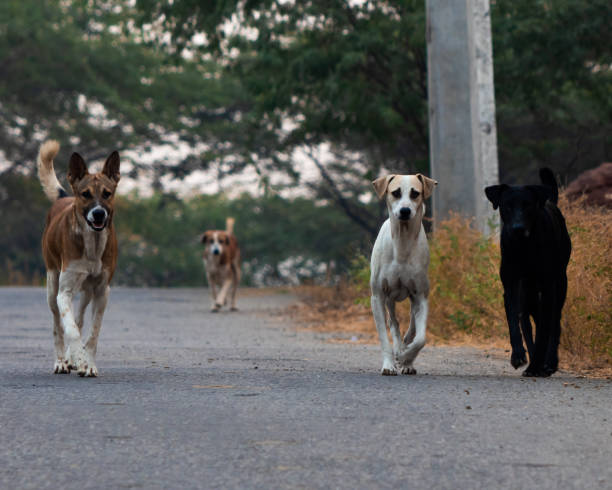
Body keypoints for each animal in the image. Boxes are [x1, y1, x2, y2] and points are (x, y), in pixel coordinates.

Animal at [38, 140, 120, 378]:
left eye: (107, 193)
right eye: (85, 194)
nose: (99, 213)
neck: (92, 243)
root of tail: (64, 197)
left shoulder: (102, 292)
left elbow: (92, 332)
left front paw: (88, 363)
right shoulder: (64, 292)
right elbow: (71, 330)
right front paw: (79, 359)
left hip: (87, 292)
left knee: (80, 317)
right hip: (52, 284)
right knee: (58, 324)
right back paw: (62, 361)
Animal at [370, 173, 438, 376]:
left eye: (415, 193)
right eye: (396, 192)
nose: (405, 210)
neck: (402, 243)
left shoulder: (421, 295)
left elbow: (421, 338)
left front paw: (406, 358)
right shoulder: (377, 296)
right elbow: (384, 336)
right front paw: (389, 364)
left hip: (413, 298)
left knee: (412, 326)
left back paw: (405, 356)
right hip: (389, 298)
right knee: (393, 322)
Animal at [486, 169, 572, 378]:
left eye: (528, 206)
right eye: (507, 206)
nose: (518, 229)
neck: (524, 247)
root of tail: (551, 202)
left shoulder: (548, 290)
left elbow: (544, 332)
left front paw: (538, 365)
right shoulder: (511, 287)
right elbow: (514, 323)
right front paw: (518, 356)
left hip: (560, 284)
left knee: (554, 324)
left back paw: (548, 363)